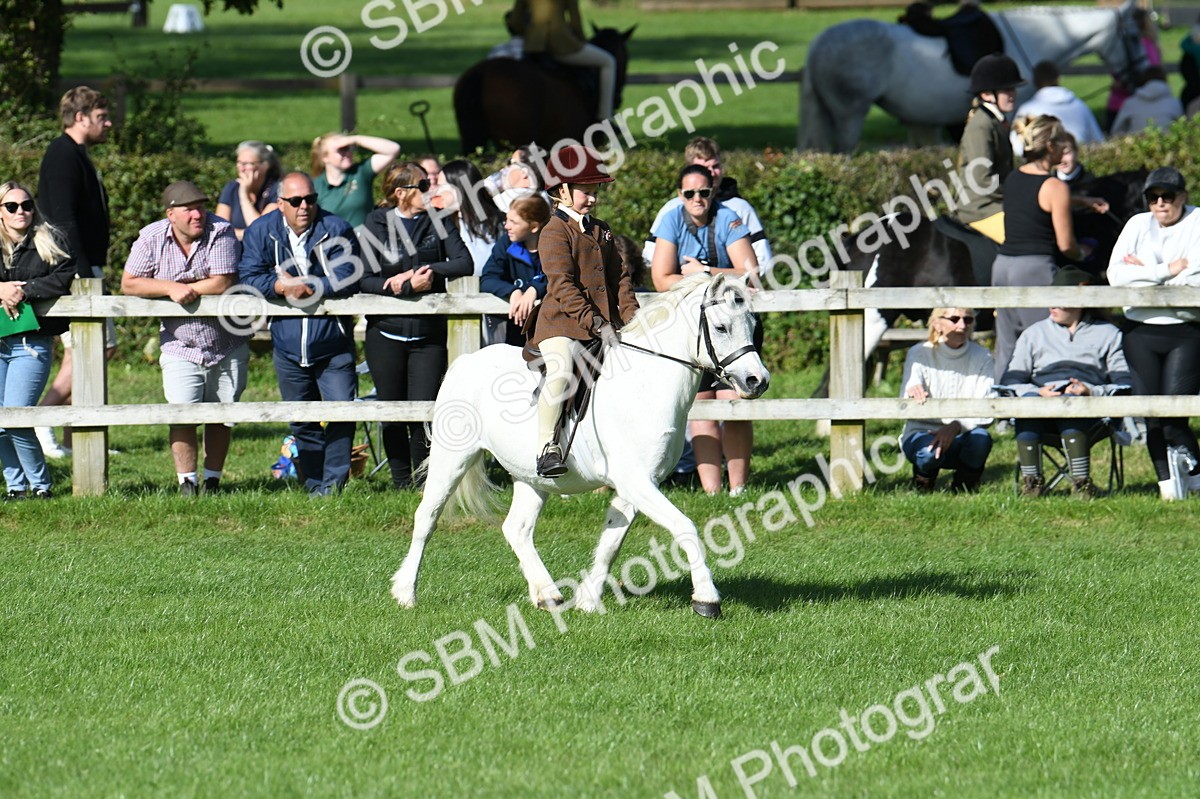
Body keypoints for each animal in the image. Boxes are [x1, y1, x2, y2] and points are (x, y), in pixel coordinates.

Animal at [391, 273, 770, 619]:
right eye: (721, 327)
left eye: (752, 324)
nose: (758, 381)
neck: (646, 383)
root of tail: (466, 361)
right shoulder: (637, 482)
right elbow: (685, 527)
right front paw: (707, 599)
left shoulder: (637, 484)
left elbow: (611, 543)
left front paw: (588, 600)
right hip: (453, 458)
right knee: (427, 518)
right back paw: (406, 593)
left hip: (532, 477)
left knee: (517, 529)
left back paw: (548, 595)